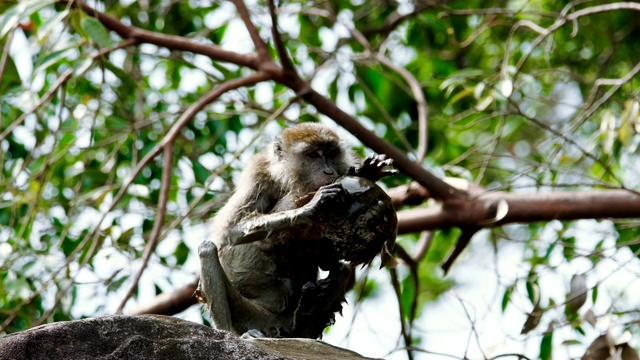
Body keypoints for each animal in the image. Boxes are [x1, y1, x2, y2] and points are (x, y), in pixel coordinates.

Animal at [196, 122, 396, 338]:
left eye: (330, 153)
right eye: (313, 155)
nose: (328, 171)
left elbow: (327, 259)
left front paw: (366, 173)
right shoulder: (258, 174)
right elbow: (230, 230)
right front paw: (310, 207)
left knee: (340, 269)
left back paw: (306, 319)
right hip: (254, 315)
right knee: (208, 249)